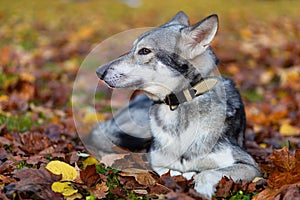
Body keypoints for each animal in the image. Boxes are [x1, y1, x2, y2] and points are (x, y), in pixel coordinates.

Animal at [91, 11, 260, 198]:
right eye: (133, 48)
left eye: (144, 51)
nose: (98, 72)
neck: (180, 103)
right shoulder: (157, 161)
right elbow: (171, 171)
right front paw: (187, 174)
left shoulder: (249, 165)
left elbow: (207, 173)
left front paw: (202, 189)